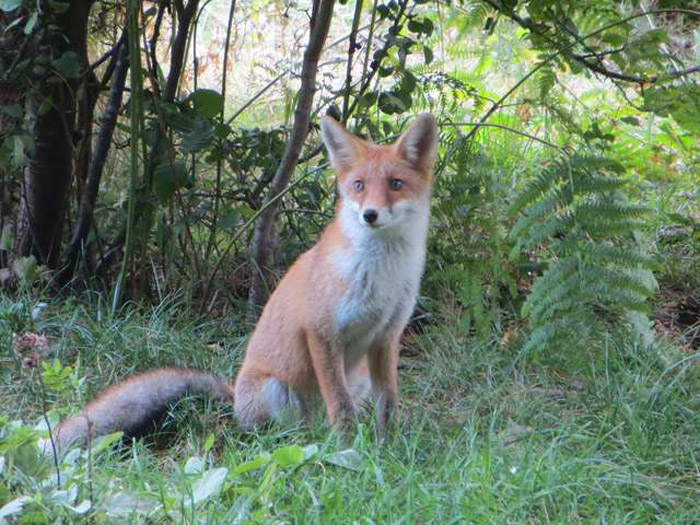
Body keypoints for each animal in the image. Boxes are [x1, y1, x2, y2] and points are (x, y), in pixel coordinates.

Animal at [47, 113, 438, 450]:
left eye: (395, 185)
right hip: (278, 390)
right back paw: (305, 443)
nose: (370, 215)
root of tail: (235, 398)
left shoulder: (386, 336)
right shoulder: (321, 332)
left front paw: (389, 447)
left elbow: (388, 402)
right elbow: (340, 406)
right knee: (282, 435)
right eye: (359, 186)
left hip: (355, 376)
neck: (381, 273)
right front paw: (348, 448)